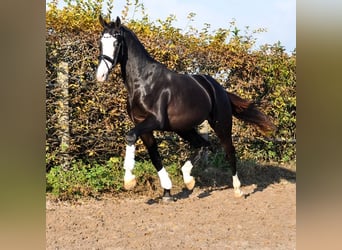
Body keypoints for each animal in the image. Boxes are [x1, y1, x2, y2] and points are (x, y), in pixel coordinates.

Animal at [96, 15, 276, 200]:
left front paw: (129, 180)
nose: (100, 75)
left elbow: (131, 136)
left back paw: (237, 189)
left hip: (221, 124)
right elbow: (154, 156)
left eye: (116, 42)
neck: (143, 82)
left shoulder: (155, 121)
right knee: (203, 144)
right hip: (183, 128)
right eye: (101, 42)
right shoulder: (142, 124)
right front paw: (167, 191)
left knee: (229, 151)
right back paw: (188, 178)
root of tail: (219, 88)